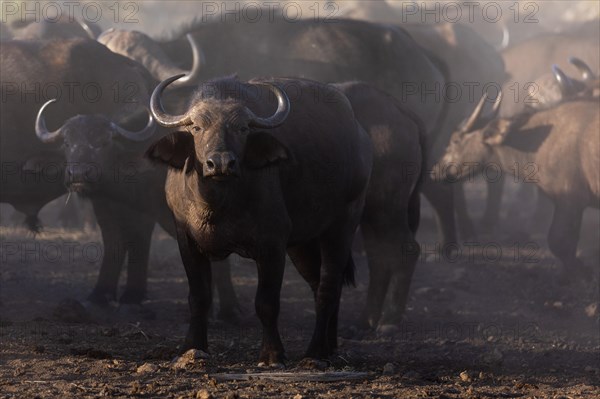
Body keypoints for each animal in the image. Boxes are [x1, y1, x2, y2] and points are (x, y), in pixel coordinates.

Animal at [145, 75, 370, 366]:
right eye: (196, 127)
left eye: (242, 128)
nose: (220, 163)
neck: (217, 204)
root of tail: (360, 136)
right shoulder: (186, 239)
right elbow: (199, 297)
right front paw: (191, 347)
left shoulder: (272, 244)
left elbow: (266, 302)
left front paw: (272, 355)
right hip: (302, 243)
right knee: (319, 283)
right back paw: (329, 346)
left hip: (342, 225)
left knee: (328, 286)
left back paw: (315, 352)